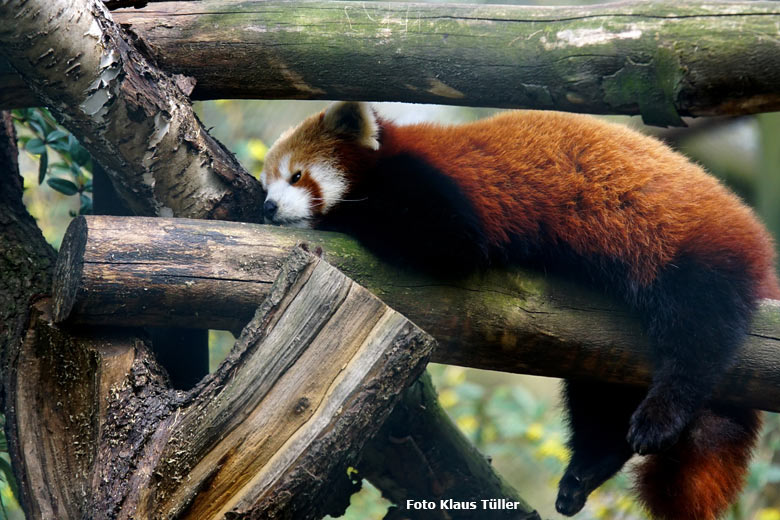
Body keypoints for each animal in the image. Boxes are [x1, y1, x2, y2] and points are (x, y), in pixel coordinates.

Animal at [262, 99, 780, 516]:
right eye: (271, 181)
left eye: (296, 176)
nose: (268, 206)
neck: (389, 160)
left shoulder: (438, 192)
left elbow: (446, 241)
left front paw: (332, 215)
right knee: (598, 400)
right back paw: (585, 472)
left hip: (688, 252)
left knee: (698, 335)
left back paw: (660, 415)